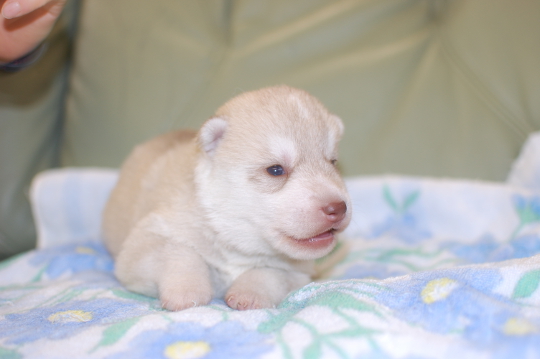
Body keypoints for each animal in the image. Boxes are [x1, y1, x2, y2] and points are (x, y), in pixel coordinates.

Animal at [103, 86, 352, 310]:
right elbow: (181, 253)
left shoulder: (296, 272)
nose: (338, 208)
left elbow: (269, 272)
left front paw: (250, 293)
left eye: (333, 163)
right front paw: (187, 291)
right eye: (275, 170)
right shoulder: (145, 240)